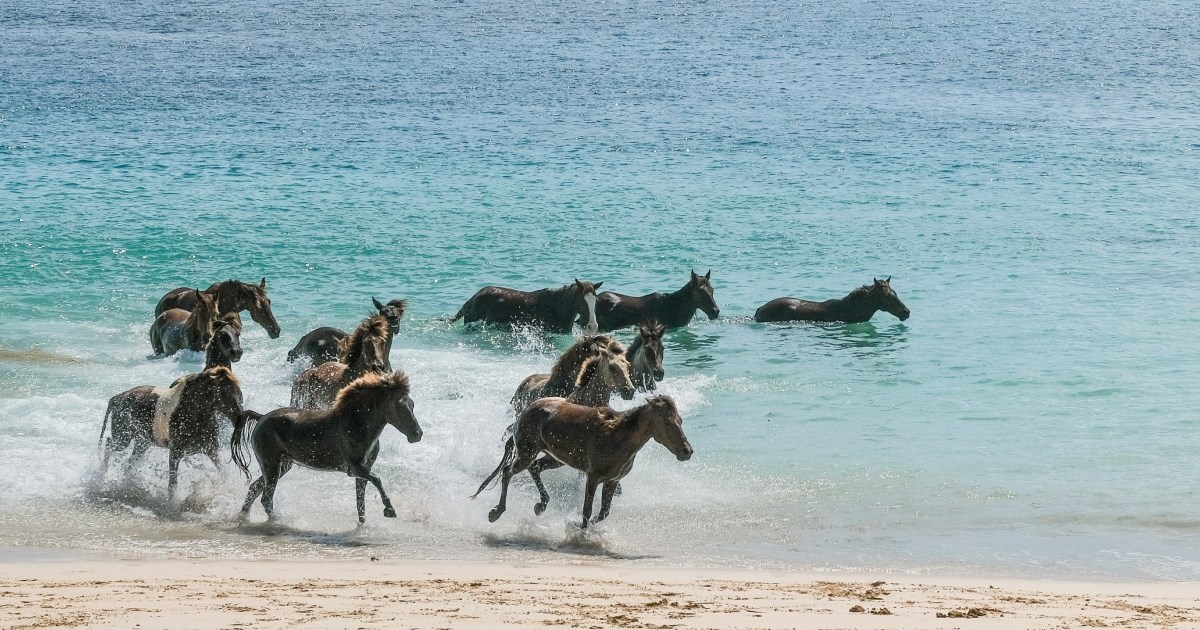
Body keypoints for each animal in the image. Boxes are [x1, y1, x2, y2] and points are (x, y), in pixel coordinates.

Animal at [100, 362, 246, 501]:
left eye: (240, 393)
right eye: (224, 393)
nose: (240, 418)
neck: (191, 412)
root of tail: (118, 397)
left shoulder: (211, 450)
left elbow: (223, 473)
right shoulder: (175, 453)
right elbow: (172, 484)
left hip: (142, 443)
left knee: (129, 464)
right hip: (122, 439)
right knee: (108, 444)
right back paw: (103, 474)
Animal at [231, 372, 424, 523]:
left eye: (413, 404)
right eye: (399, 406)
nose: (418, 434)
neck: (357, 424)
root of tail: (261, 417)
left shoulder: (363, 470)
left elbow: (360, 504)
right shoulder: (355, 468)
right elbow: (377, 480)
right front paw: (389, 510)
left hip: (282, 465)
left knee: (254, 489)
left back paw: (243, 517)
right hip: (271, 465)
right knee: (265, 497)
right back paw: (277, 521)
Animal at [470, 396, 691, 528]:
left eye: (680, 420)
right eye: (668, 422)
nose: (687, 451)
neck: (620, 436)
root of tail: (526, 410)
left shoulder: (612, 481)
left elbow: (603, 513)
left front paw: (585, 527)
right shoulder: (593, 477)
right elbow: (587, 510)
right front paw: (580, 532)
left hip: (555, 458)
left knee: (535, 468)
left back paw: (541, 505)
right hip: (526, 453)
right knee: (508, 472)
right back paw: (496, 512)